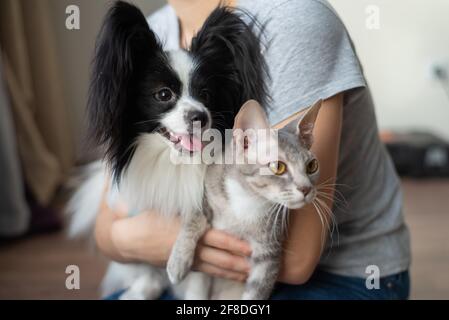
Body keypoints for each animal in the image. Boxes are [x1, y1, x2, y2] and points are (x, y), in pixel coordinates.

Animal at [166, 100, 320, 300]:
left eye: (312, 166)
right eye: (278, 167)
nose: (306, 188)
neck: (247, 199)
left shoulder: (269, 251)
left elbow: (257, 289)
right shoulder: (204, 188)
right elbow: (195, 217)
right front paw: (178, 262)